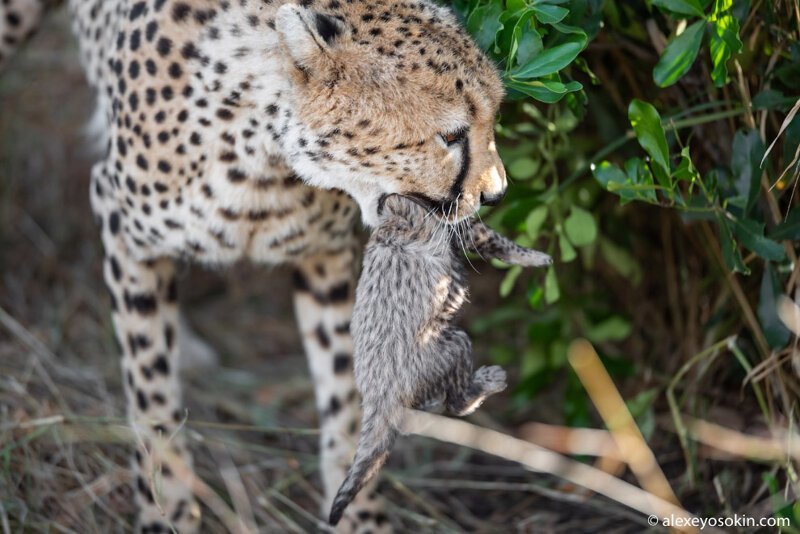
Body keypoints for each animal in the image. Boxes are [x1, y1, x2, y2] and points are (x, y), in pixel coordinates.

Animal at [1, 0, 506, 532]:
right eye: (450, 135)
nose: (497, 192)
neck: (261, 144)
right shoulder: (124, 233)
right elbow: (151, 388)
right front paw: (167, 506)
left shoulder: (326, 257)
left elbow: (345, 389)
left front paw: (358, 511)